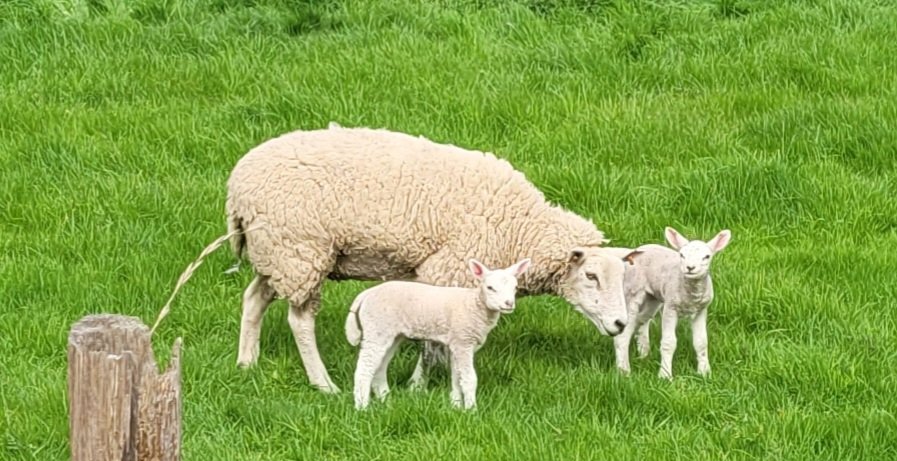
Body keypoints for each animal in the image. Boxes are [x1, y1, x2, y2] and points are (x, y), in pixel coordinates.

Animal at [225, 123, 641, 393]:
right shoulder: (448, 268)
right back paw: (323, 383)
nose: (620, 323)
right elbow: (432, 338)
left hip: (275, 252)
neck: (519, 226)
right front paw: (418, 384)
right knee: (299, 320)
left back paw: (246, 362)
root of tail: (237, 184)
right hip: (300, 250)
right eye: (590, 276)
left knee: (254, 298)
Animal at [346, 258, 530, 410]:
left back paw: (386, 401)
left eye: (515, 287)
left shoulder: (456, 343)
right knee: (364, 368)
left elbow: (457, 378)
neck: (474, 304)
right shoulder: (463, 342)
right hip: (376, 329)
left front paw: (456, 406)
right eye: (490, 287)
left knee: (379, 368)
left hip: (391, 334)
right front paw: (472, 410)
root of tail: (365, 295)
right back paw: (363, 407)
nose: (509, 304)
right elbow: (469, 379)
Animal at [612, 227, 732, 380]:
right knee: (623, 334)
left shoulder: (701, 309)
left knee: (642, 319)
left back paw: (644, 352)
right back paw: (624, 371)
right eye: (682, 255)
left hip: (653, 297)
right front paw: (665, 375)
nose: (690, 267)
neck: (691, 295)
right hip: (632, 290)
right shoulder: (671, 306)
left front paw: (704, 372)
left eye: (707, 256)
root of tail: (636, 251)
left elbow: (701, 342)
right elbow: (669, 342)